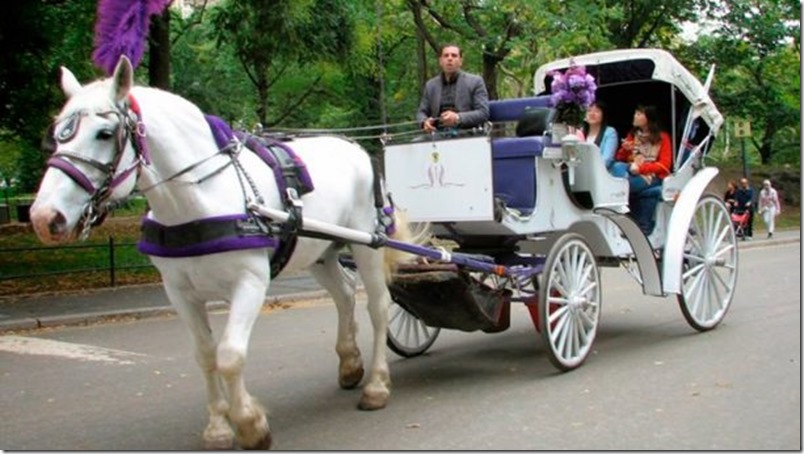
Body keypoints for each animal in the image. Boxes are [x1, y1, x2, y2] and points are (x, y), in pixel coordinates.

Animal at [28, 55, 418, 448]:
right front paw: (218, 427)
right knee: (344, 296)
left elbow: (229, 355)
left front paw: (250, 424)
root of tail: (356, 148)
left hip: (366, 245)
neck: (198, 198)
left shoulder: (251, 282)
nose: (44, 217)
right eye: (57, 134)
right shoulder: (179, 292)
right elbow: (205, 355)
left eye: (105, 134)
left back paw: (376, 385)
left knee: (378, 307)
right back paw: (350, 363)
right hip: (319, 250)